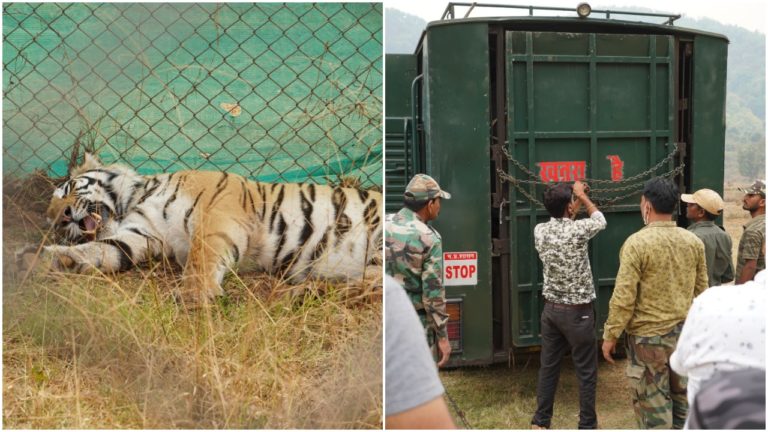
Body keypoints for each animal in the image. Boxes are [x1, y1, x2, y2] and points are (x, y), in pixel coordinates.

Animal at [18, 153, 383, 302]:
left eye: (67, 189)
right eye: (53, 220)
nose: (62, 217)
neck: (133, 200)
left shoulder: (217, 212)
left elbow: (201, 257)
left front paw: (194, 294)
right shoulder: (140, 236)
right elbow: (98, 249)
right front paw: (39, 258)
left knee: (376, 284)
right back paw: (307, 291)